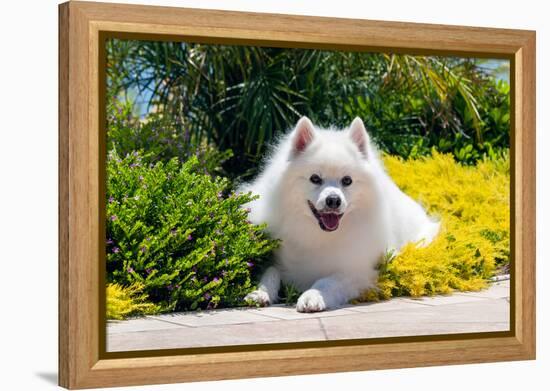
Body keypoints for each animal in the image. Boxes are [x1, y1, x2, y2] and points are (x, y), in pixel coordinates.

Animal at [242, 116, 440, 312]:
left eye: (347, 180)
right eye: (315, 178)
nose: (333, 200)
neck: (319, 234)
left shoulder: (356, 271)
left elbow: (327, 281)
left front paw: (312, 296)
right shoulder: (278, 260)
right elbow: (270, 272)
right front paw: (259, 293)